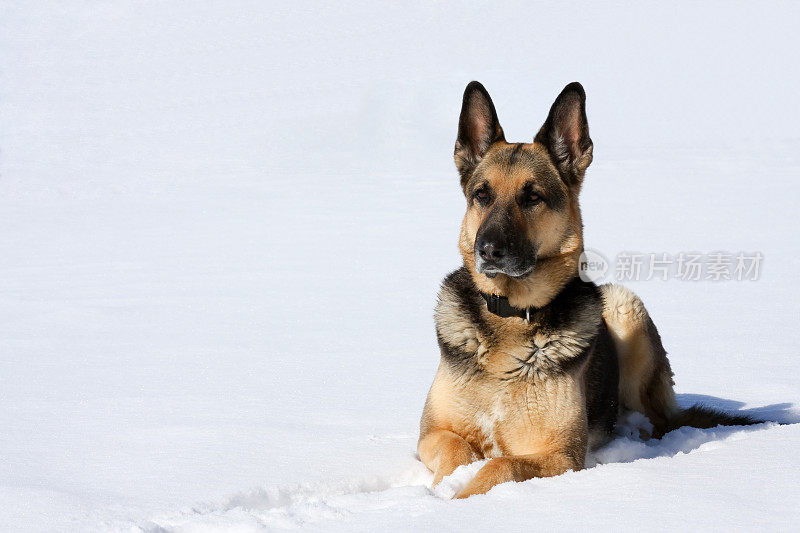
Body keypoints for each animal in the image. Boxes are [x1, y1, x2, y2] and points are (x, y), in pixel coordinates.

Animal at [416, 81, 760, 496]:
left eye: (532, 197)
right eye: (481, 195)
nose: (488, 250)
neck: (511, 316)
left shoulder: (561, 455)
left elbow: (502, 464)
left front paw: (462, 497)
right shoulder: (431, 434)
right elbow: (457, 451)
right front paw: (445, 491)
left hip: (625, 304)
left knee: (657, 421)